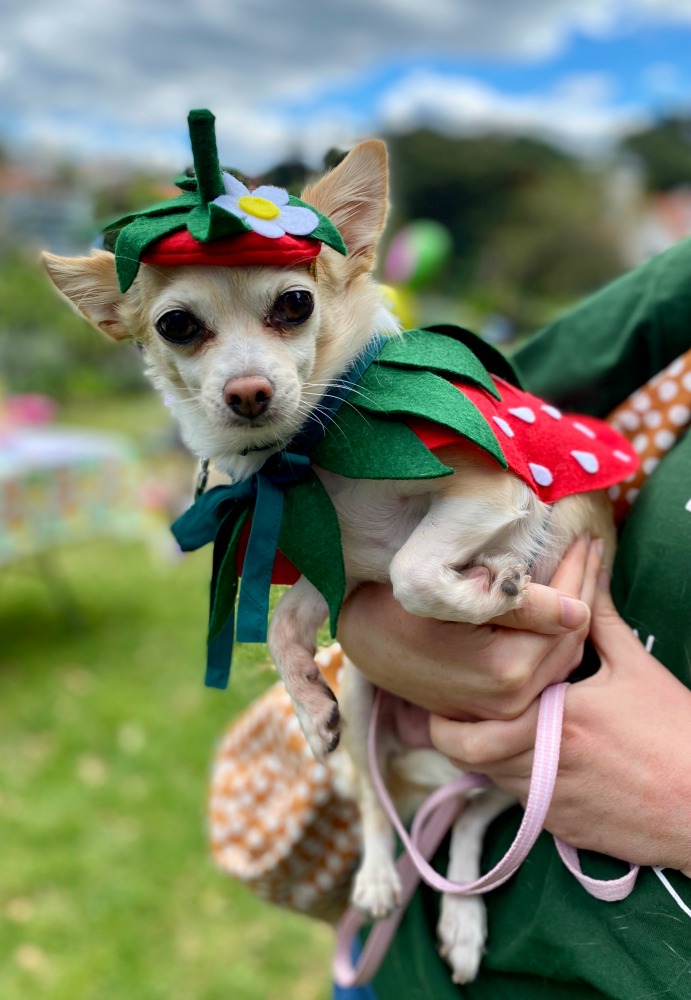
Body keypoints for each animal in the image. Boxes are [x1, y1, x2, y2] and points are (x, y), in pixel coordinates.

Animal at [44, 143, 616, 984]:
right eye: (177, 325)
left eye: (294, 305)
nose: (247, 391)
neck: (315, 454)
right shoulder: (340, 566)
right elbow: (291, 622)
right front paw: (306, 705)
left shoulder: (491, 493)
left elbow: (415, 571)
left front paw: (490, 592)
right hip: (374, 704)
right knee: (388, 807)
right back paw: (383, 879)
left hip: (526, 759)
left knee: (471, 820)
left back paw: (462, 918)